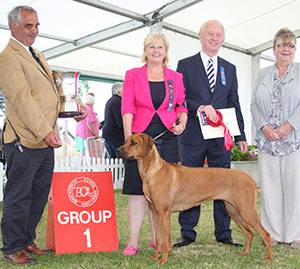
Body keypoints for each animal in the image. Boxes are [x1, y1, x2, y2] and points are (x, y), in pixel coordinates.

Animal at [116, 133, 274, 262]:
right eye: (126, 141)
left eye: (134, 143)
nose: (117, 150)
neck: (152, 172)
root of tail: (251, 179)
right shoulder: (155, 212)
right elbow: (159, 239)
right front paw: (156, 256)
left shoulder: (164, 214)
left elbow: (166, 240)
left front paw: (164, 259)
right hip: (233, 210)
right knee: (249, 233)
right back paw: (245, 253)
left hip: (246, 210)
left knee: (265, 234)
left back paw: (269, 258)